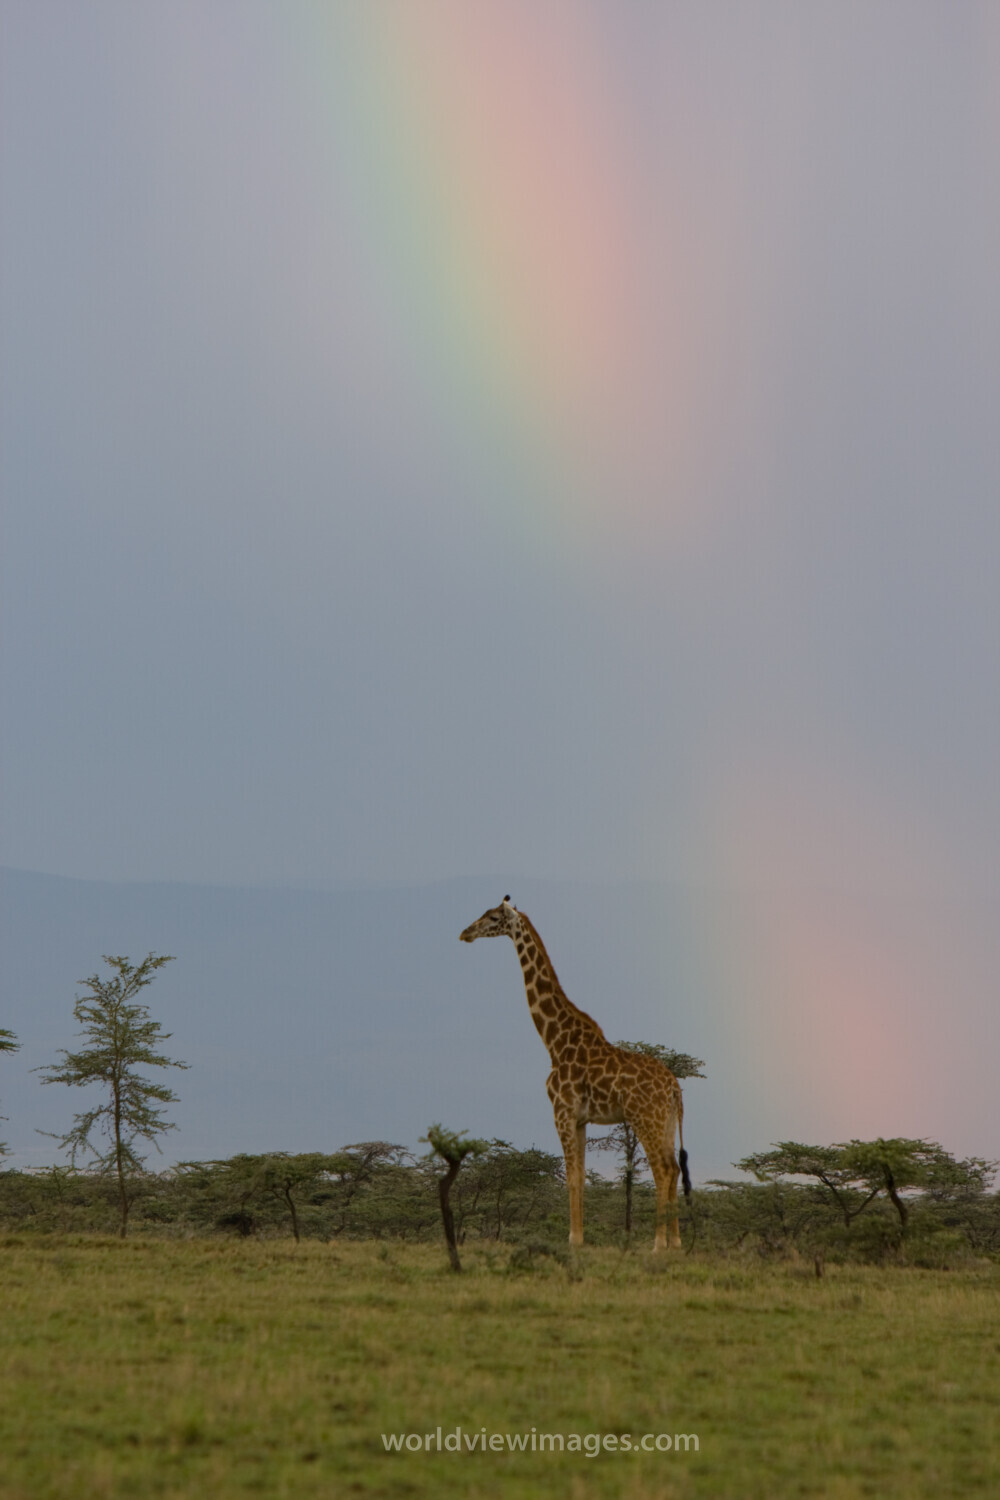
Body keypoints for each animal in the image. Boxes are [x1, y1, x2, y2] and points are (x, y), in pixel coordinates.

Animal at [460, 897, 691, 1250]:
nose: (465, 933)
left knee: (663, 1170)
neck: (555, 1042)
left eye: (494, 917)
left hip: (644, 1118)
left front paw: (573, 1241)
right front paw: (579, 1239)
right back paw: (676, 1244)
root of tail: (674, 1087)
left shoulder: (562, 1112)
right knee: (675, 1169)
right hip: (665, 1122)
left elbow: (570, 1178)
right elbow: (580, 1177)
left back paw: (657, 1245)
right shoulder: (581, 1119)